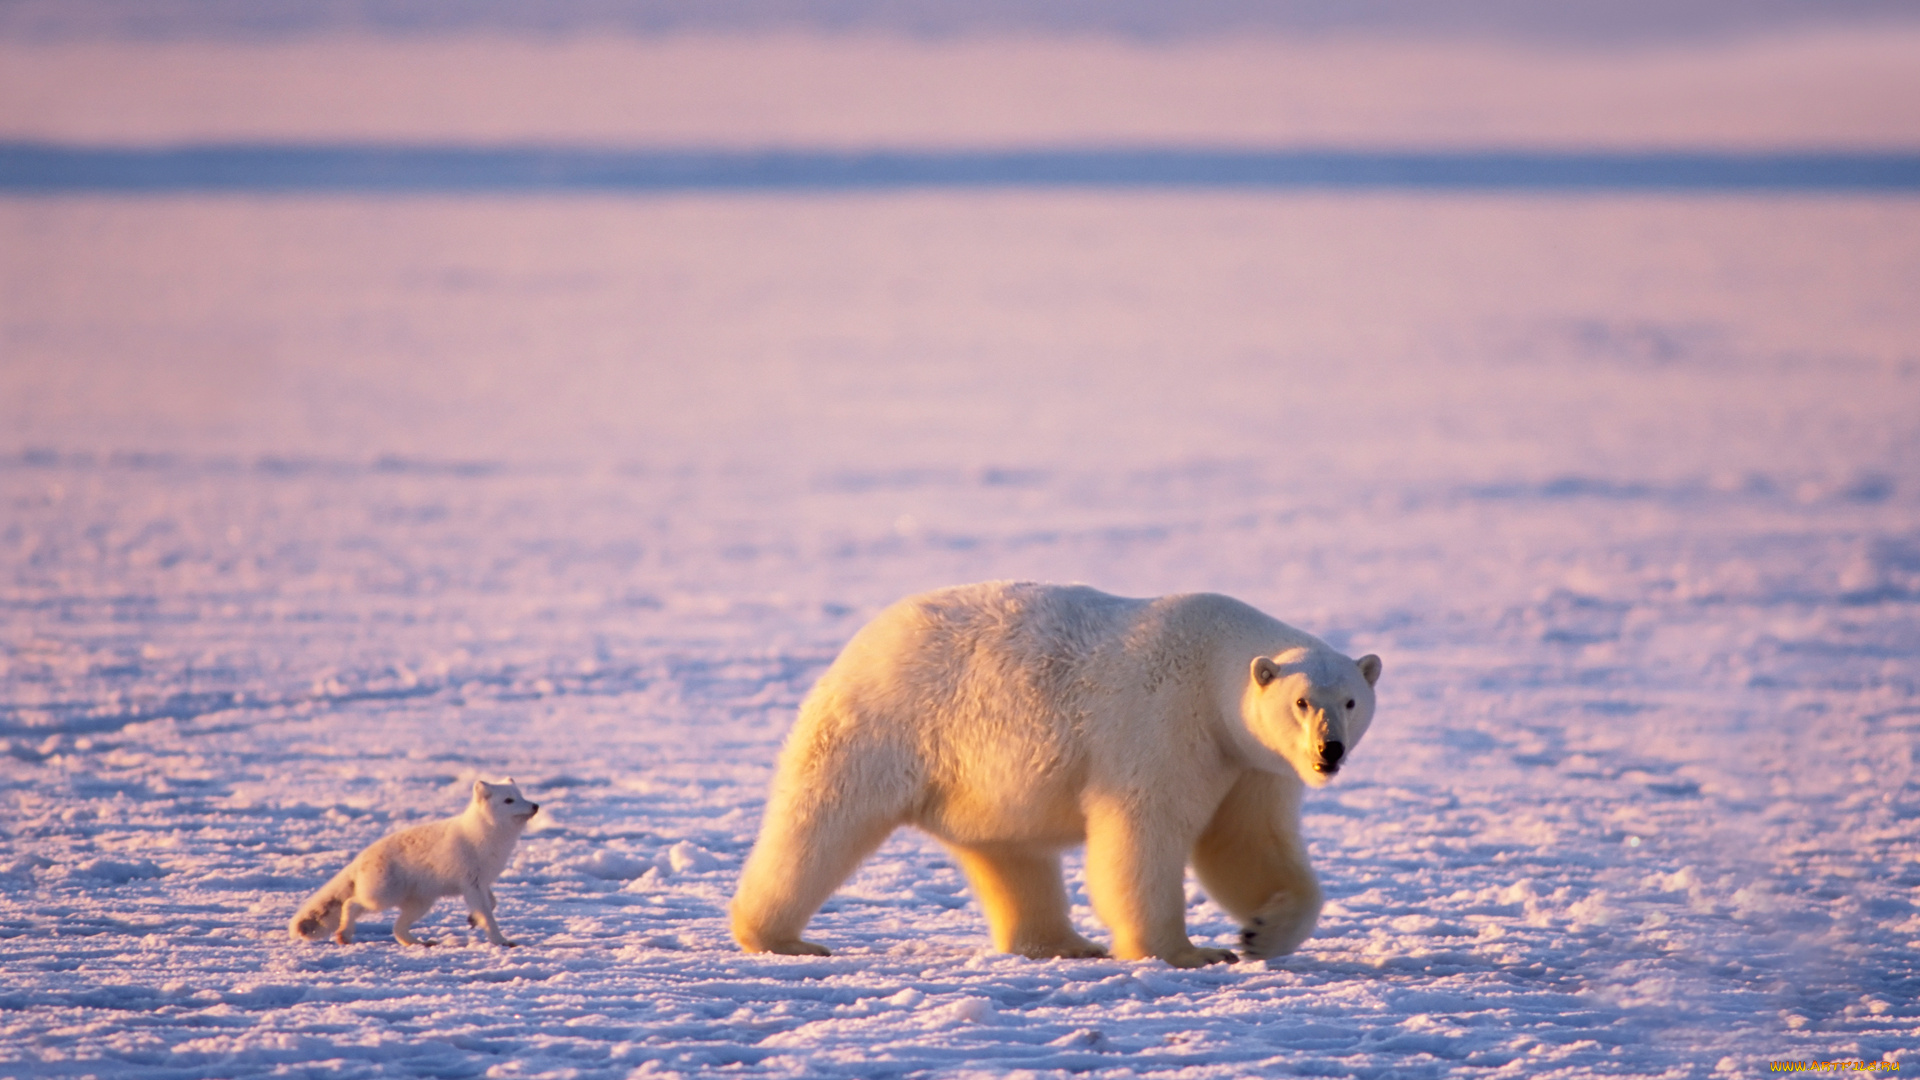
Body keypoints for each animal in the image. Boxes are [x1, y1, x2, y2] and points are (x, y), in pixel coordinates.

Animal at [288, 772, 541, 941]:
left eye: (521, 795)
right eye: (508, 801)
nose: (536, 805)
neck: (486, 837)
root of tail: (360, 858)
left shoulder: (482, 882)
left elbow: (493, 903)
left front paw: (472, 919)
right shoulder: (472, 884)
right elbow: (487, 915)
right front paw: (501, 941)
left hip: (420, 903)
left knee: (397, 928)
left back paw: (418, 943)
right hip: (382, 897)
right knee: (351, 903)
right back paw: (344, 934)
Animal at [721, 580, 1382, 968]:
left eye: (1351, 700)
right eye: (1302, 701)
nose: (1328, 751)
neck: (1213, 661)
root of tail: (862, 640)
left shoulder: (1250, 762)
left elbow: (1246, 842)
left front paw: (1261, 932)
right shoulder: (1163, 724)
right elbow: (1143, 834)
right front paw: (1188, 952)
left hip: (979, 780)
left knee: (1010, 854)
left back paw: (1063, 943)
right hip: (888, 725)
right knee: (822, 822)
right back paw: (780, 936)